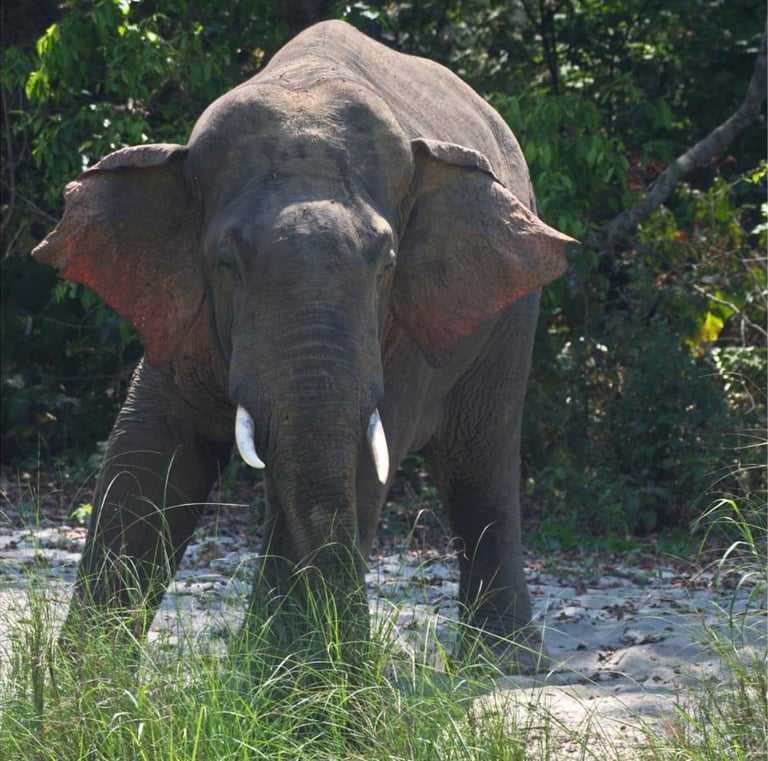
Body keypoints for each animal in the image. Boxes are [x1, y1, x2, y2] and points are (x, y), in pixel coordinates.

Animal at [33, 20, 574, 674]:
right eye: (226, 263)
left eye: (387, 264)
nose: (358, 668)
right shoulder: (185, 310)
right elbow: (147, 453)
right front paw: (80, 685)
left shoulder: (402, 322)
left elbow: (359, 457)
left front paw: (294, 685)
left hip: (510, 313)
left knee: (480, 458)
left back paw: (501, 665)